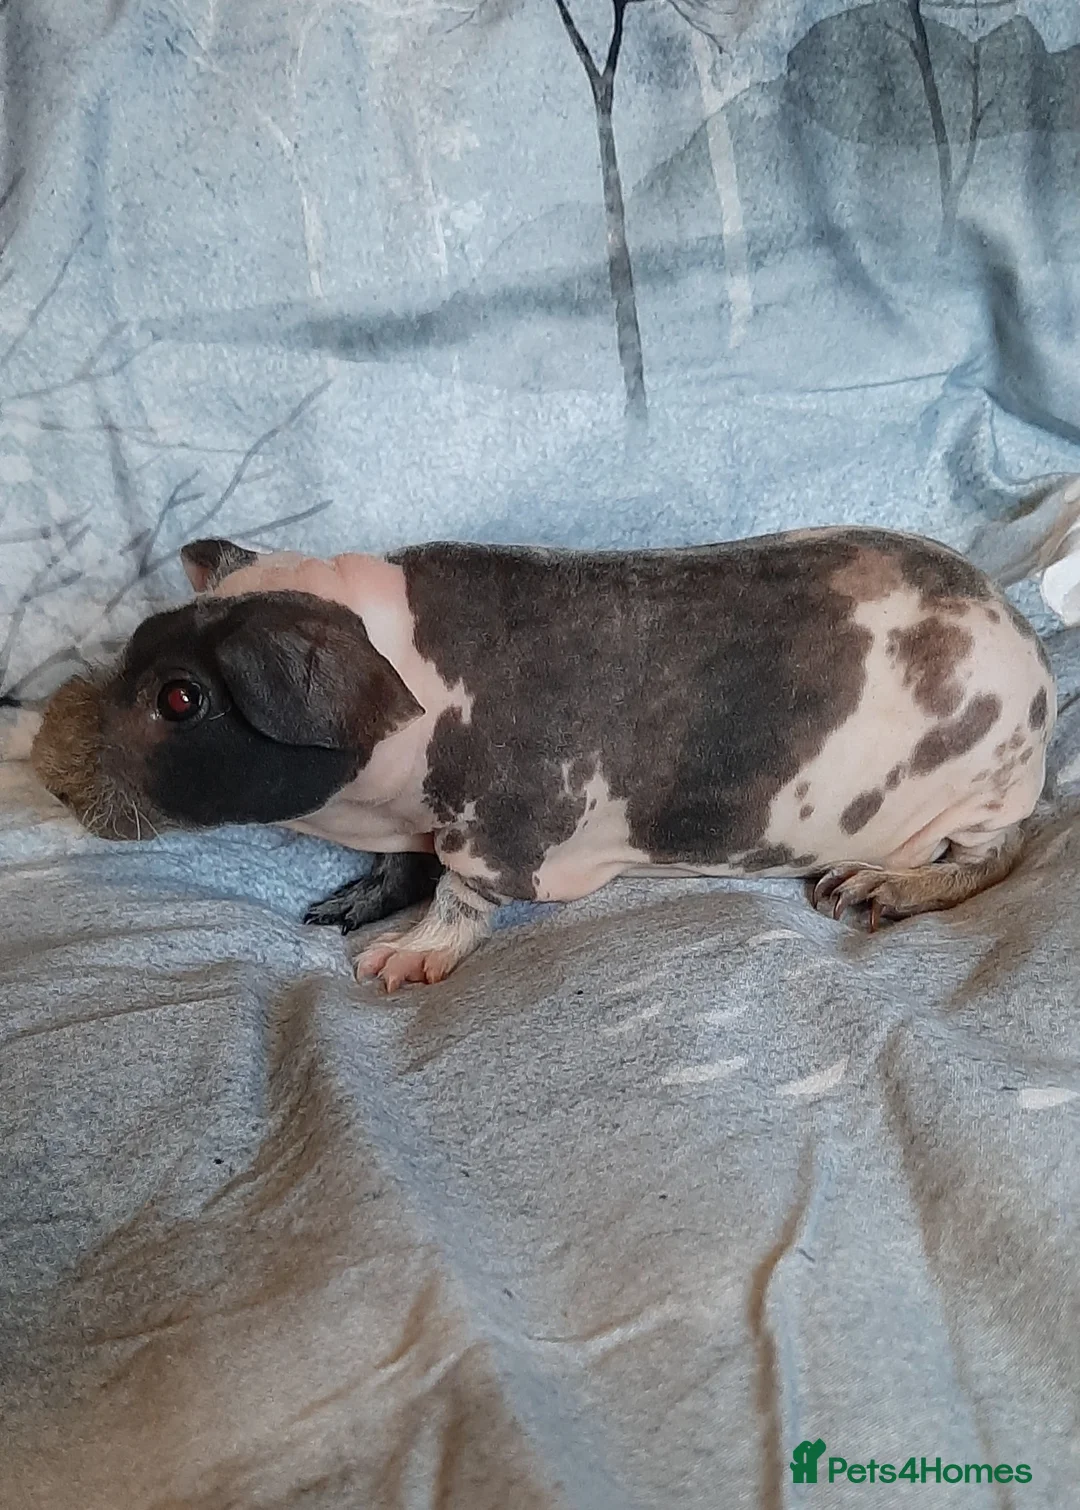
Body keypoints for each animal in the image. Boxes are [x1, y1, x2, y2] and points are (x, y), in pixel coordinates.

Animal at [30, 528, 1056, 990]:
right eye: (135, 645)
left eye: (181, 698)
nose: (41, 759)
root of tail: (1030, 656)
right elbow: (396, 867)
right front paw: (335, 911)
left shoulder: (502, 830)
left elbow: (460, 896)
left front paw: (391, 965)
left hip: (981, 794)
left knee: (991, 861)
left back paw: (863, 892)